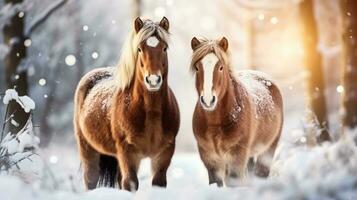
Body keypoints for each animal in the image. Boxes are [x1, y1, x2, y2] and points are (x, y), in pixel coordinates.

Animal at [74, 17, 181, 191]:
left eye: (165, 48)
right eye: (139, 49)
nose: (153, 80)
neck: (150, 112)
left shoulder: (164, 152)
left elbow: (158, 183)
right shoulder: (128, 152)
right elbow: (130, 183)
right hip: (88, 150)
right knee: (91, 180)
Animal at [191, 36, 282, 187]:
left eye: (221, 67)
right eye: (197, 67)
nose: (208, 100)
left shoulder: (237, 154)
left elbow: (234, 181)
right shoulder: (209, 157)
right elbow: (217, 182)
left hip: (268, 148)